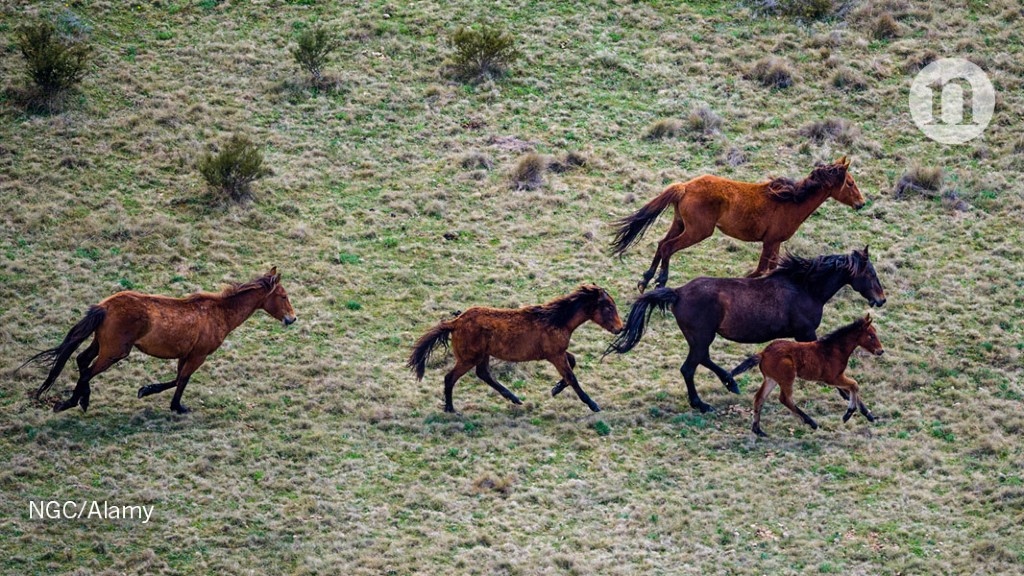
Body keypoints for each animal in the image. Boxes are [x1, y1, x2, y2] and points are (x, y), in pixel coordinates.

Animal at [19, 267, 296, 414]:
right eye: (283, 296)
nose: (292, 319)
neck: (219, 312)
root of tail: (105, 307)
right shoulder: (198, 355)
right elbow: (182, 379)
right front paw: (174, 405)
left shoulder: (187, 354)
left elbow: (177, 378)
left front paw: (151, 393)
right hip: (114, 352)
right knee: (87, 371)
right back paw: (72, 402)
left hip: (101, 344)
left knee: (80, 360)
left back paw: (80, 400)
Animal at [408, 285, 624, 413]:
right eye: (608, 307)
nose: (620, 328)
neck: (557, 320)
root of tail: (455, 323)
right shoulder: (554, 355)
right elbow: (572, 376)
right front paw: (593, 405)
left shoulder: (557, 353)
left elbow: (573, 362)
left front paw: (555, 389)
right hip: (469, 358)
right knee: (450, 378)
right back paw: (451, 409)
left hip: (482, 355)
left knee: (483, 374)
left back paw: (514, 398)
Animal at [604, 248, 885, 413]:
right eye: (871, 273)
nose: (881, 300)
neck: (805, 288)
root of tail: (678, 292)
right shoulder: (806, 333)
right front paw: (852, 400)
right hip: (702, 336)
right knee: (689, 368)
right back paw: (702, 404)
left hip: (699, 338)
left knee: (702, 360)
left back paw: (731, 382)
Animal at [609, 157, 865, 292]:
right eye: (850, 183)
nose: (861, 203)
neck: (791, 201)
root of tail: (685, 187)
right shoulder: (770, 242)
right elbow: (761, 270)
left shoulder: (775, 243)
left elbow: (770, 268)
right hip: (697, 231)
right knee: (668, 247)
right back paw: (660, 282)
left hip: (680, 224)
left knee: (662, 244)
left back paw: (645, 279)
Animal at [730, 314, 884, 437]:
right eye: (871, 335)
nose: (881, 351)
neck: (834, 349)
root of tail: (763, 353)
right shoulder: (832, 378)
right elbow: (854, 385)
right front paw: (848, 414)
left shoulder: (838, 377)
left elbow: (851, 389)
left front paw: (869, 415)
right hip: (787, 377)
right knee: (785, 399)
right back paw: (811, 422)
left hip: (771, 379)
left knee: (759, 398)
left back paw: (758, 430)